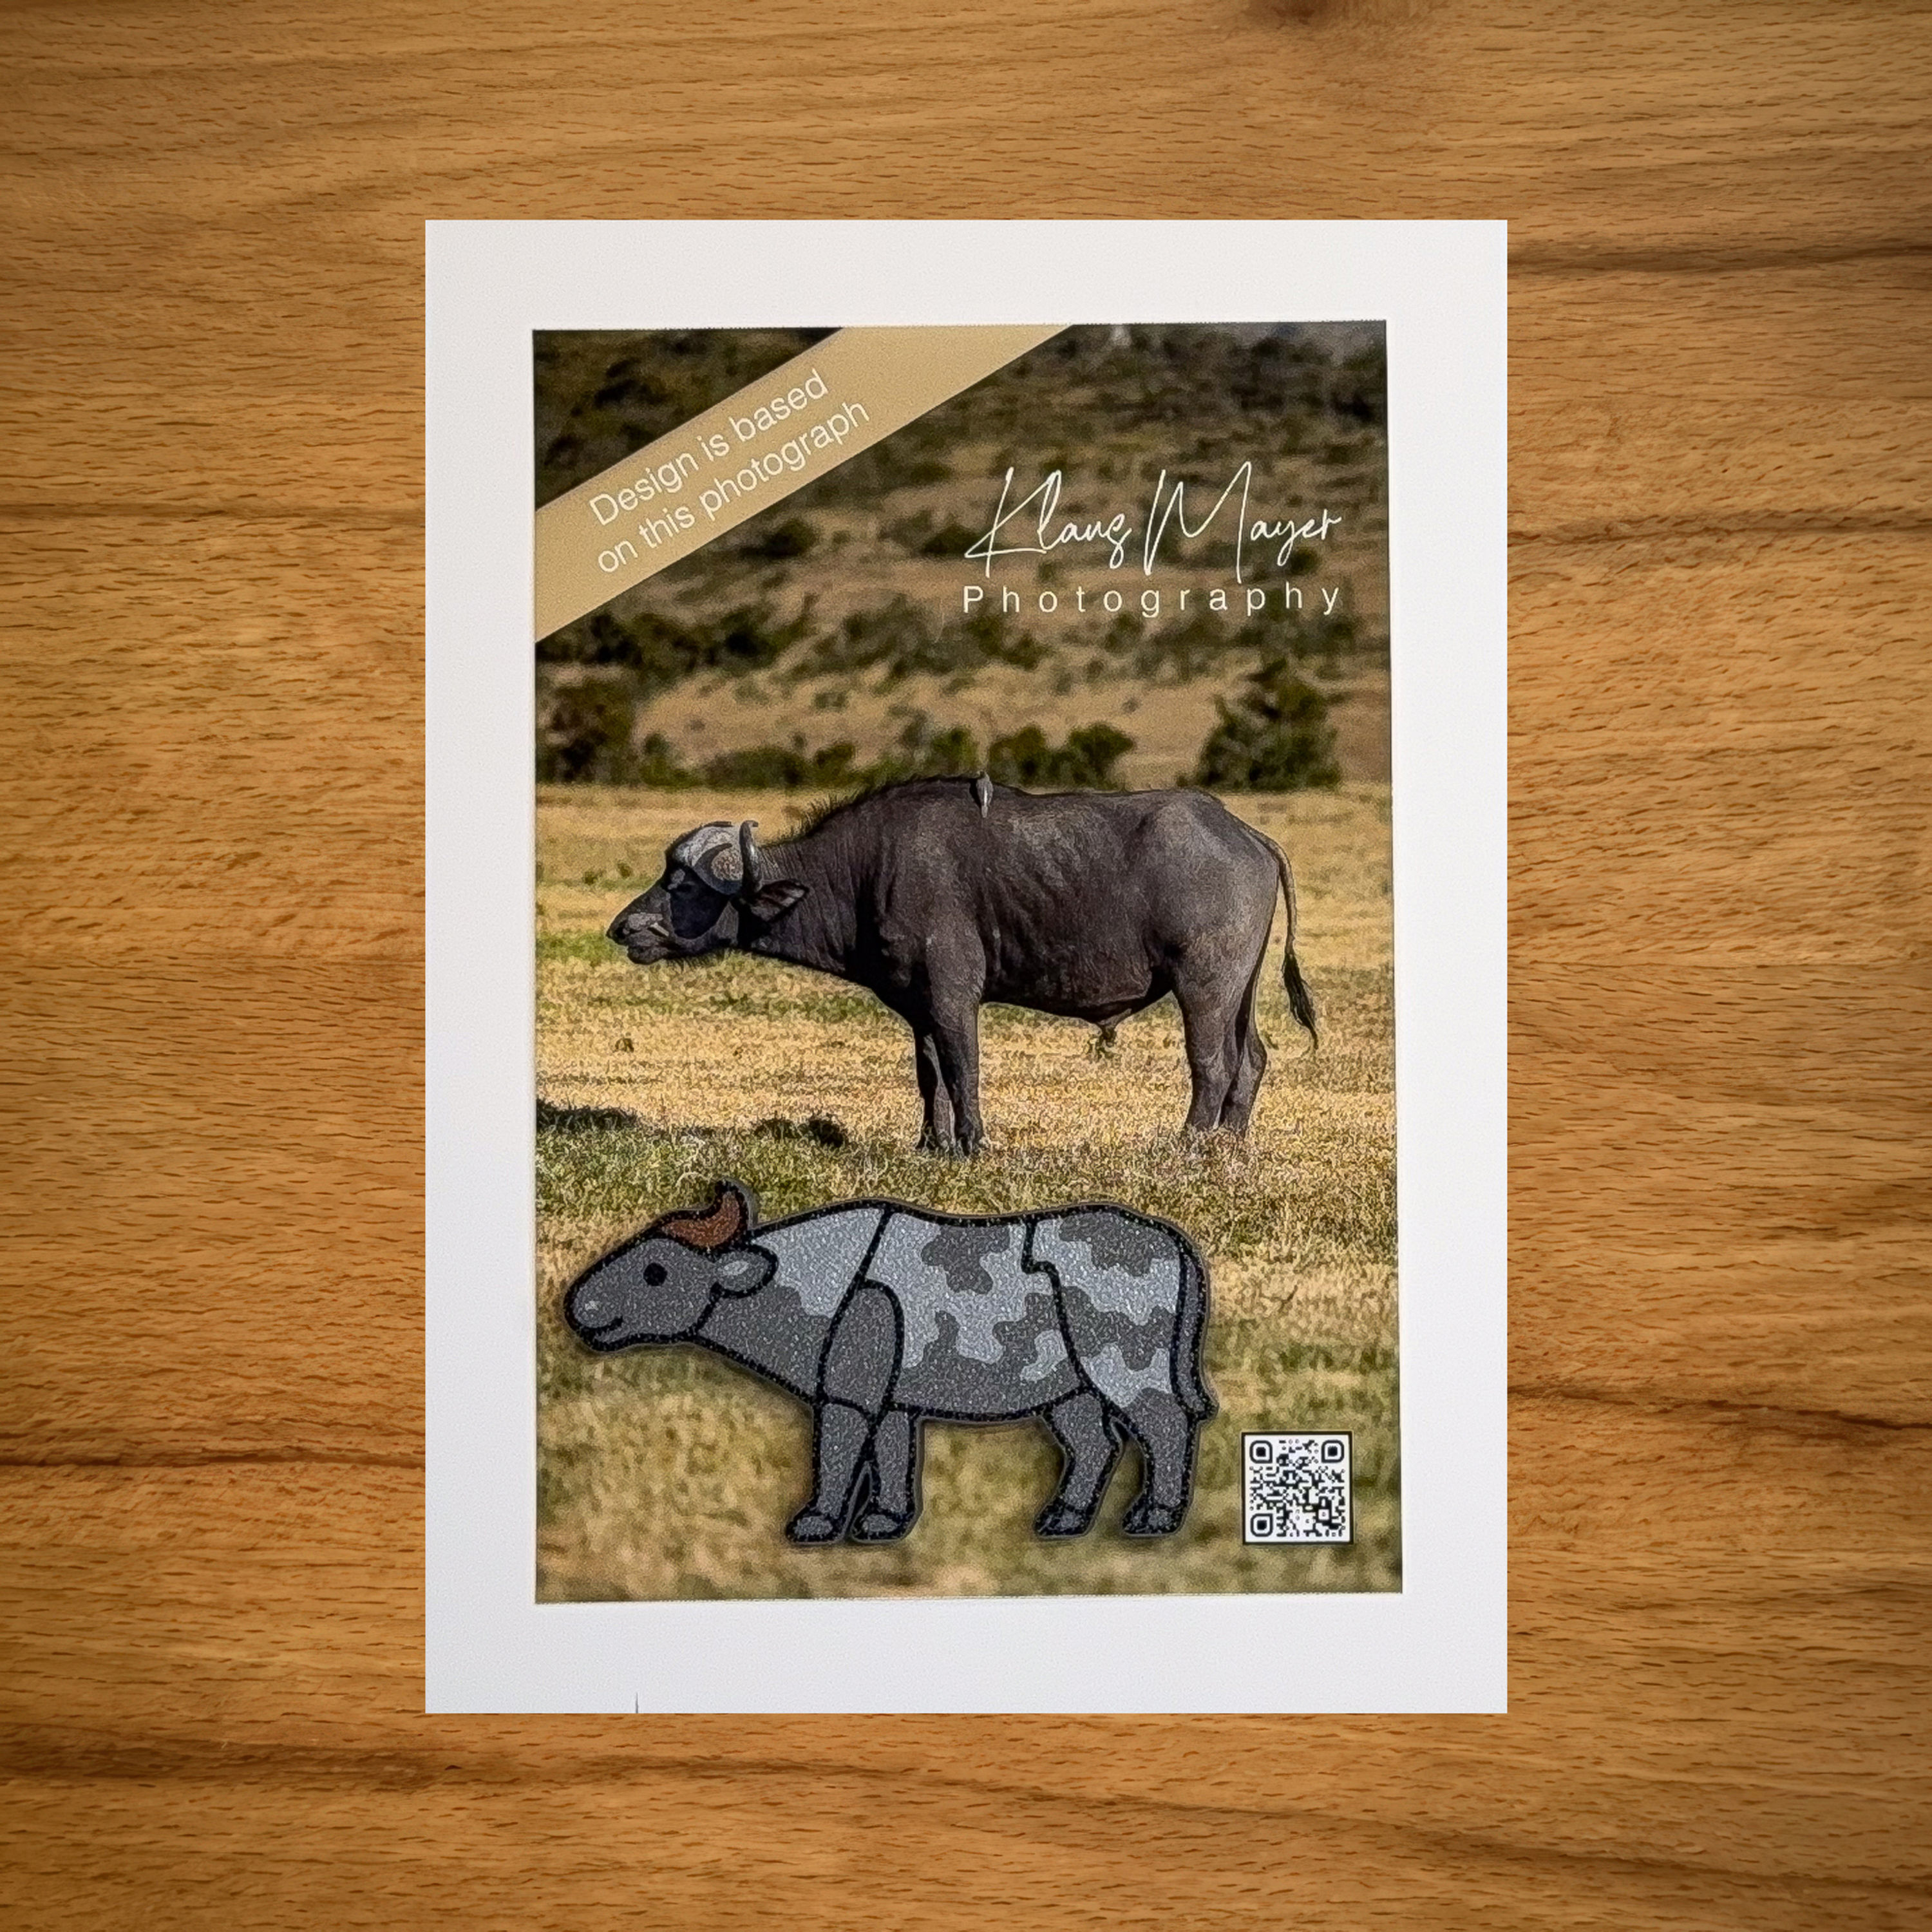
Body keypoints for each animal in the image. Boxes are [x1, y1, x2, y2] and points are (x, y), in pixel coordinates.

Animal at [607, 775, 1317, 1154]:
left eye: (685, 884)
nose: (624, 929)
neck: (863, 872)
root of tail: (1246, 834)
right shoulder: (917, 1006)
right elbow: (930, 1075)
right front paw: (933, 1143)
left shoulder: (952, 997)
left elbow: (963, 1067)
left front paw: (973, 1143)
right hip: (1241, 989)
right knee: (1252, 1059)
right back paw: (1229, 1147)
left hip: (1204, 984)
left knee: (1212, 1064)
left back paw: (1189, 1145)